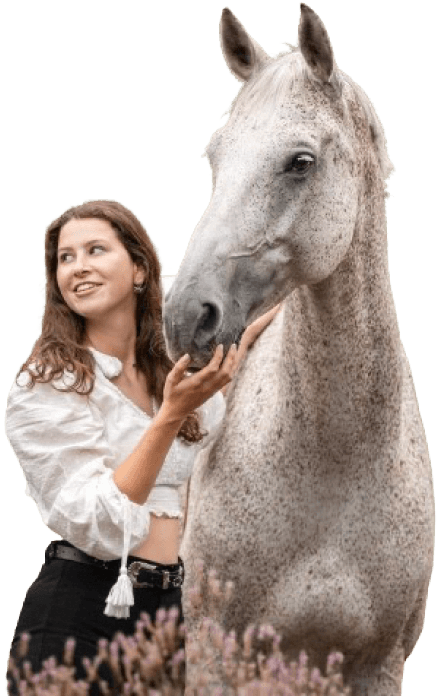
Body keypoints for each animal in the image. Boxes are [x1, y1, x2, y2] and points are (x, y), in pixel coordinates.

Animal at [163, 4, 435, 694]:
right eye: (215, 157)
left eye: (300, 162)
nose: (185, 318)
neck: (333, 465)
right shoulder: (215, 654)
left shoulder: (377, 666)